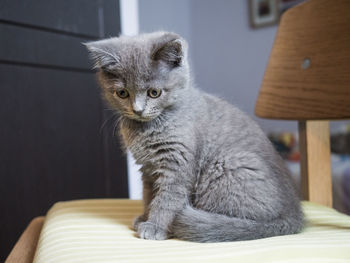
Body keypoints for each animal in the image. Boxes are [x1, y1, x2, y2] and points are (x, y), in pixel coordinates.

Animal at [85, 31, 304, 243]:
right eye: (122, 93)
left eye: (154, 92)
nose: (137, 110)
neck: (147, 128)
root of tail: (293, 215)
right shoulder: (148, 168)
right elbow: (149, 195)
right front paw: (145, 217)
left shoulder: (177, 162)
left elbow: (167, 198)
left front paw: (155, 227)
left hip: (229, 165)